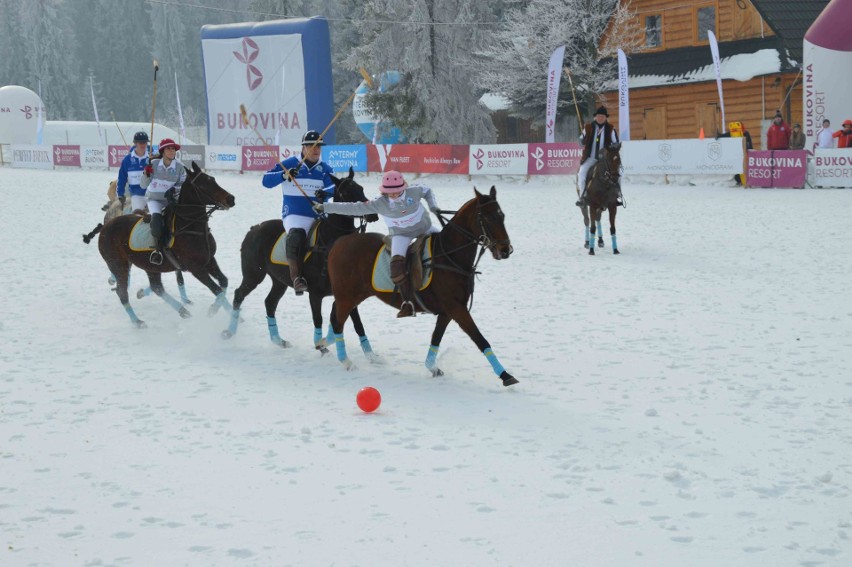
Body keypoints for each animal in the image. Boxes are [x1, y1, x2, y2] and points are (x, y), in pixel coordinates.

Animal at [90, 161, 235, 328]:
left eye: (213, 179)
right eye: (203, 185)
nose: (231, 199)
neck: (191, 227)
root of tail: (105, 227)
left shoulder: (209, 260)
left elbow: (223, 282)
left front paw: (219, 310)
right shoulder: (196, 268)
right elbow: (217, 289)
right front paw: (223, 314)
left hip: (149, 265)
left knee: (156, 287)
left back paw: (182, 310)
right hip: (118, 264)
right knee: (123, 292)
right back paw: (138, 321)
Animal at [221, 166, 378, 360]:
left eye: (361, 188)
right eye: (346, 192)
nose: (372, 214)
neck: (330, 241)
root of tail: (254, 228)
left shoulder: (346, 292)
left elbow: (356, 322)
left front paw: (371, 355)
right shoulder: (315, 293)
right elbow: (318, 319)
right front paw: (321, 346)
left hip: (279, 280)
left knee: (269, 303)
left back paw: (279, 340)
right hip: (254, 273)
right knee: (239, 294)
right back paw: (229, 331)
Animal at [324, 189, 516, 388]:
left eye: (501, 215)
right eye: (486, 218)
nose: (505, 250)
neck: (449, 256)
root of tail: (338, 243)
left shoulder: (447, 311)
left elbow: (436, 337)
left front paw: (432, 367)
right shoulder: (456, 308)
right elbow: (480, 339)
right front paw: (505, 375)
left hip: (353, 294)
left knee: (336, 314)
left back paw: (325, 343)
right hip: (347, 295)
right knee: (338, 322)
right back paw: (346, 361)